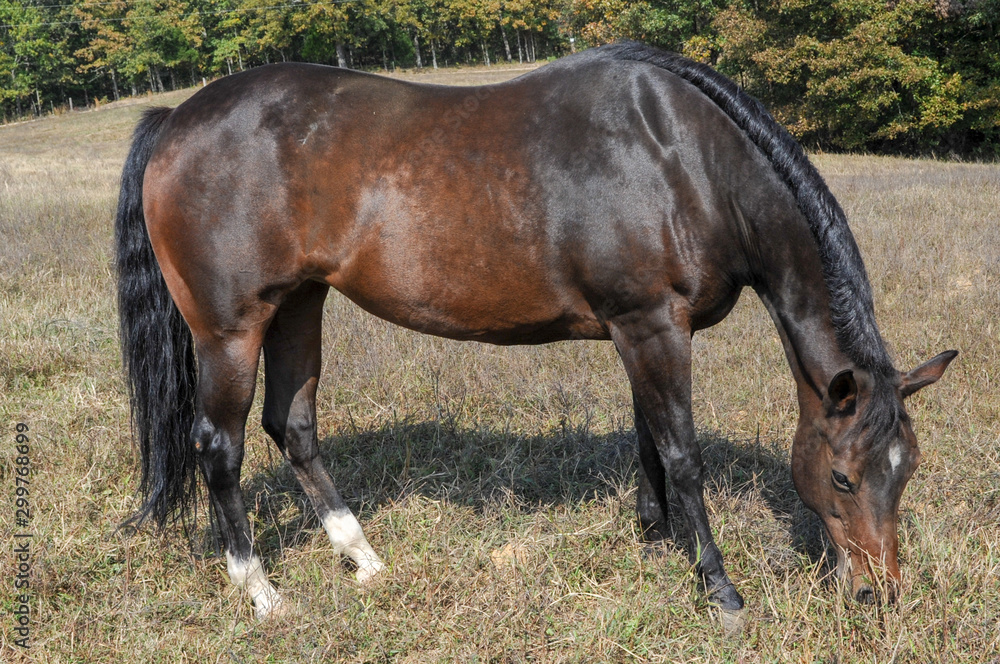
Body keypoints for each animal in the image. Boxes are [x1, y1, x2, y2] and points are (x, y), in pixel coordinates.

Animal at [115, 41, 956, 620]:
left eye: (905, 471)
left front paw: (656, 539)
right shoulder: (653, 325)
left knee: (293, 427)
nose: (879, 594)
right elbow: (682, 454)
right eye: (843, 477)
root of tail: (176, 119)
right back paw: (262, 593)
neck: (682, 158)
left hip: (299, 304)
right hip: (231, 329)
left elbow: (648, 440)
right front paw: (718, 588)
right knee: (219, 447)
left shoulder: (640, 328)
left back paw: (365, 560)